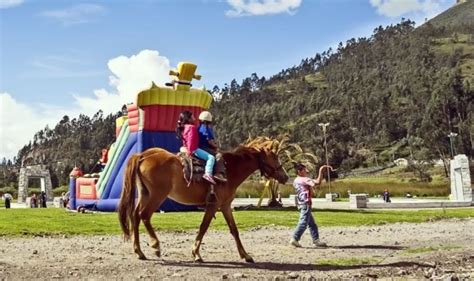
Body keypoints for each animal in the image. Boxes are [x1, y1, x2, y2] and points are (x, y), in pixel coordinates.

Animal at [118, 137, 288, 262]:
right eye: (274, 157)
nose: (285, 176)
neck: (229, 170)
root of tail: (144, 155)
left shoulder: (225, 206)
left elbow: (234, 229)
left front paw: (245, 255)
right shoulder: (213, 206)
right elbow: (203, 227)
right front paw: (196, 254)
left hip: (145, 194)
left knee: (135, 216)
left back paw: (139, 251)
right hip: (157, 196)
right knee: (144, 215)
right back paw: (155, 246)